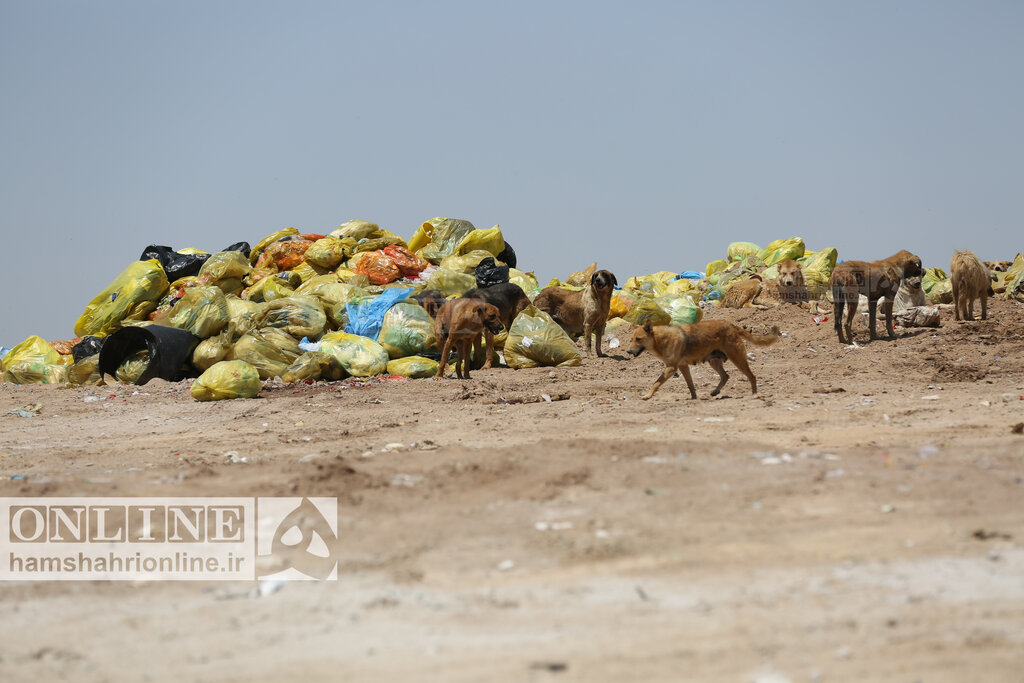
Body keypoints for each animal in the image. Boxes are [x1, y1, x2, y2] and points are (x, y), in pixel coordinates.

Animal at [622, 321, 782, 401]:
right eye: (631, 339)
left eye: (638, 339)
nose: (628, 352)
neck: (659, 339)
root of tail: (732, 325)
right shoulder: (683, 366)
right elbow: (690, 385)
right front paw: (694, 397)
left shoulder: (671, 368)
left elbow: (656, 383)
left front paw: (647, 395)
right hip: (714, 361)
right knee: (725, 376)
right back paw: (715, 391)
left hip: (738, 359)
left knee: (752, 376)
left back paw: (754, 394)